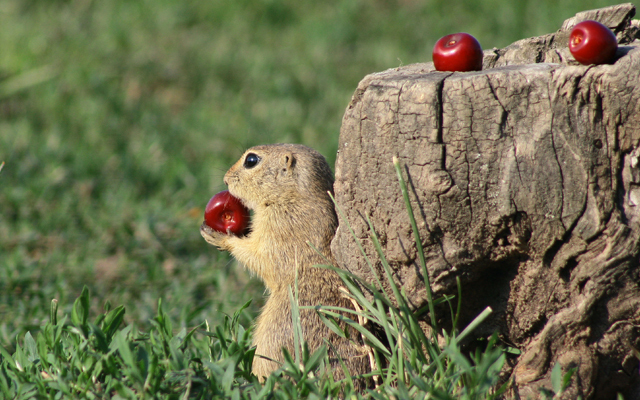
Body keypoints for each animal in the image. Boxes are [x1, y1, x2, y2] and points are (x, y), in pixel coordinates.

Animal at [200, 143, 370, 384]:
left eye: (251, 160)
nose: (225, 180)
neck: (293, 196)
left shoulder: (280, 229)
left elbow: (258, 256)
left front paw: (219, 237)